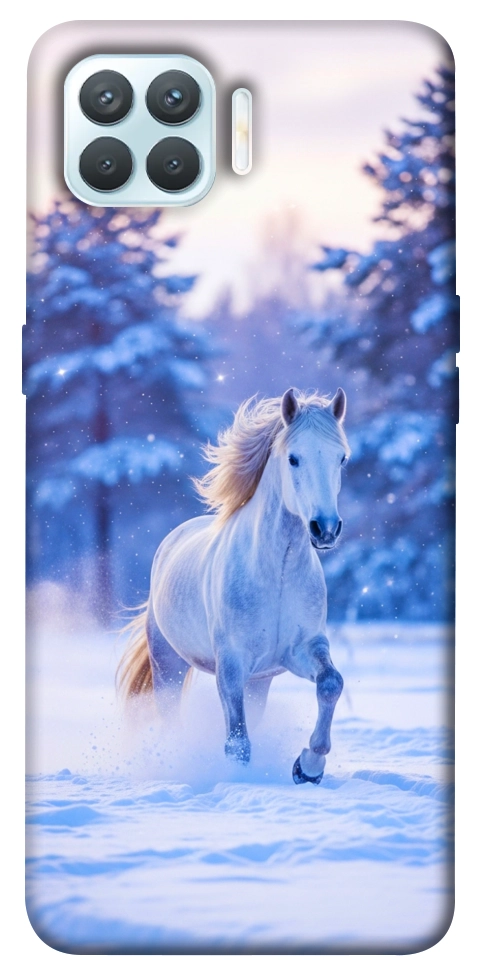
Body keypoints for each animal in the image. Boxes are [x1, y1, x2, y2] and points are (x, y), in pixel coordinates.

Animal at [118, 387, 350, 784]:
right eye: (293, 458)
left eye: (341, 459)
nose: (325, 529)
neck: (277, 573)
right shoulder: (231, 664)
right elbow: (237, 742)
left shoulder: (301, 649)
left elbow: (331, 683)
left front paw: (308, 767)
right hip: (168, 665)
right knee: (170, 717)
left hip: (259, 681)